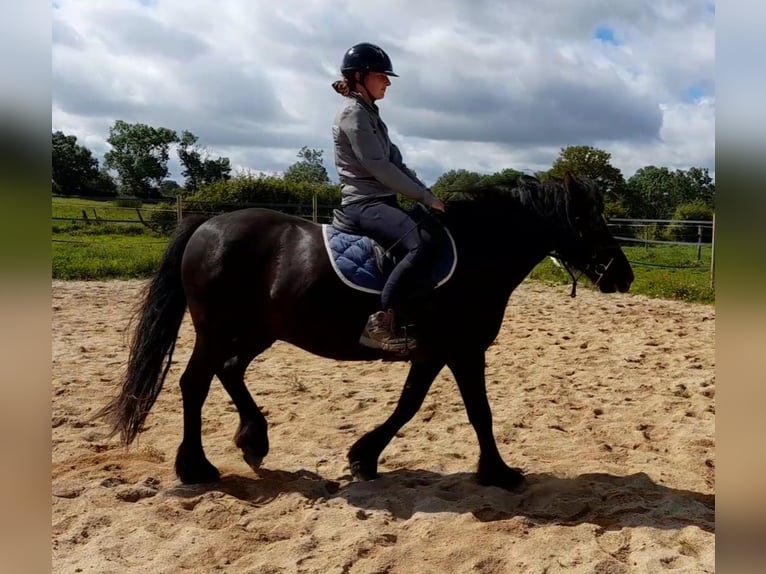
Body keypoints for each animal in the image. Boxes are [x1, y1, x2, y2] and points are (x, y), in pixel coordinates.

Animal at [97, 171, 636, 490]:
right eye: (588, 220)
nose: (623, 275)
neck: (475, 253)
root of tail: (209, 223)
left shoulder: (435, 352)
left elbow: (410, 405)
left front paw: (364, 458)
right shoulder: (462, 350)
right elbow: (476, 412)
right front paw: (500, 474)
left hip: (258, 331)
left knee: (230, 372)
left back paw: (253, 441)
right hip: (217, 329)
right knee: (195, 384)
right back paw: (196, 468)